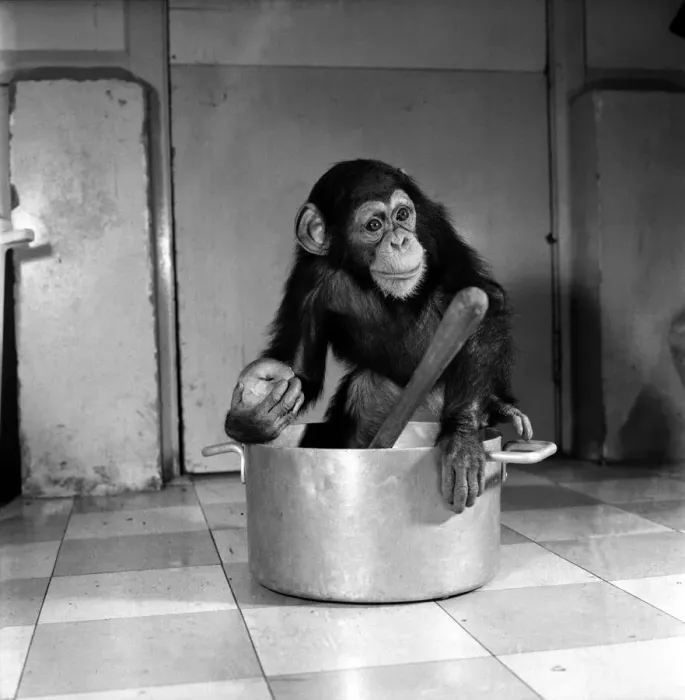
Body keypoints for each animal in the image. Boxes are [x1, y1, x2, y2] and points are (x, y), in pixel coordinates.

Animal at [225, 159, 532, 513]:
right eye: (373, 225)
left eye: (403, 215)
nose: (400, 241)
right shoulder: (308, 278)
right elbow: (301, 368)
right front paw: (252, 418)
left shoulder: (434, 226)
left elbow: (483, 295)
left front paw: (463, 438)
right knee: (365, 398)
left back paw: (496, 407)